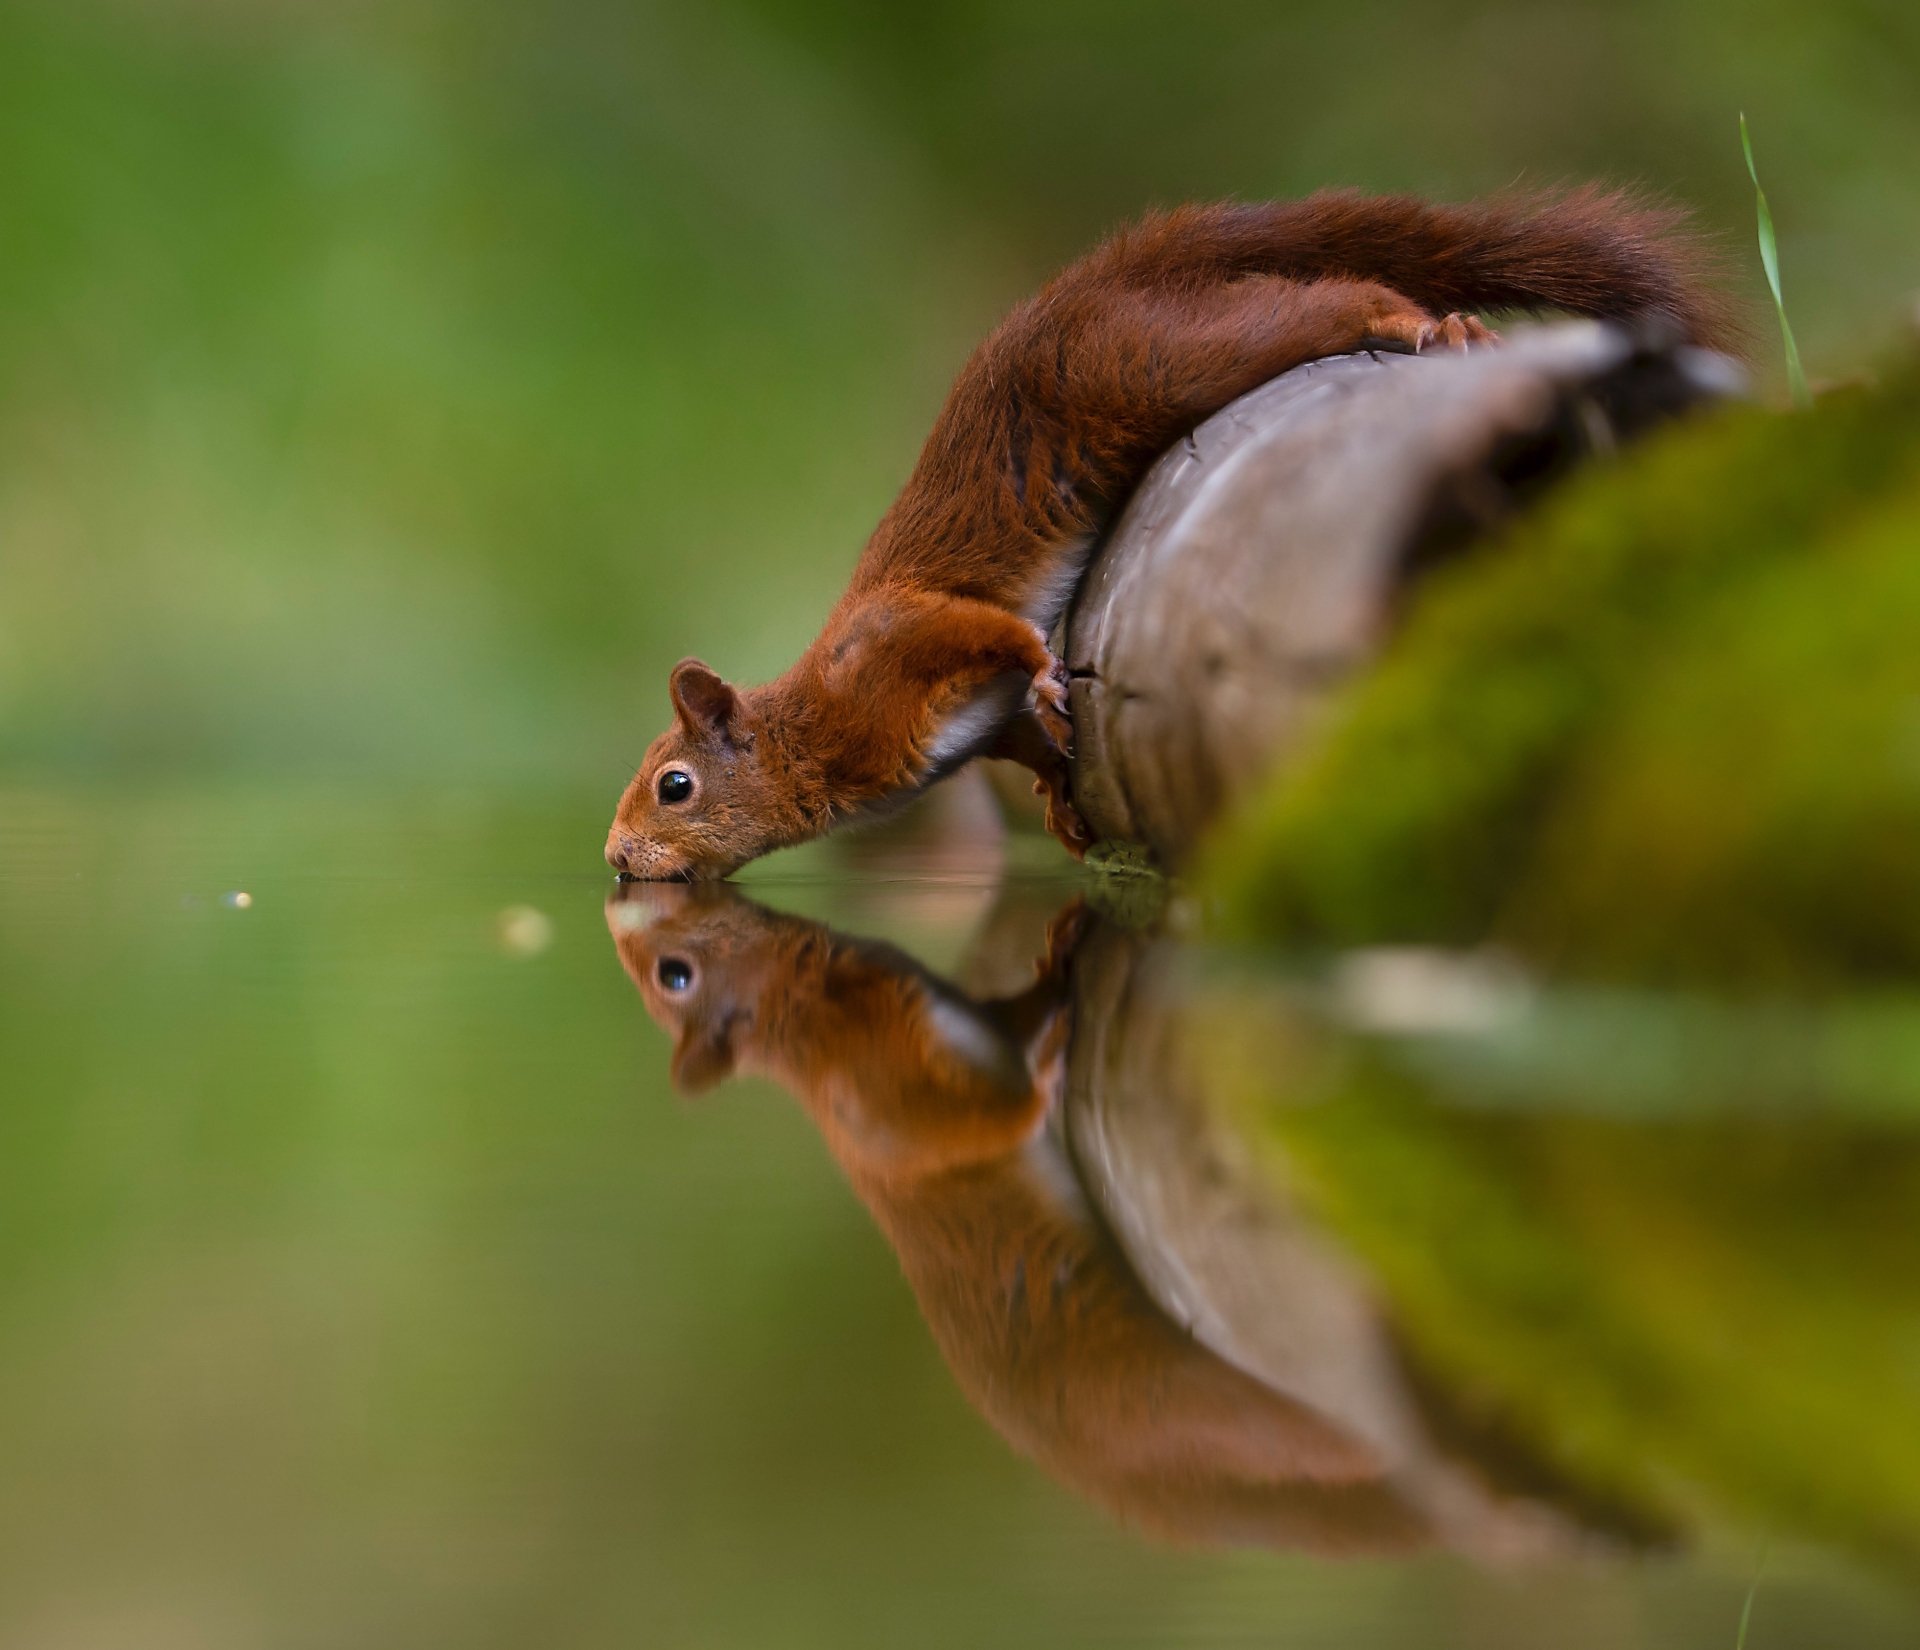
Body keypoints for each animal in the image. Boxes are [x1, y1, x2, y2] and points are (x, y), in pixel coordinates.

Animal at [606, 189, 1735, 883]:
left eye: (674, 785)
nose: (615, 861)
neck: (813, 732)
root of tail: (1099, 281)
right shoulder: (957, 721)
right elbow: (1019, 734)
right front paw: (1058, 796)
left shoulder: (892, 648)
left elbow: (983, 630)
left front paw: (1045, 673)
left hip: (1157, 360)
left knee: (1326, 305)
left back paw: (1427, 325)